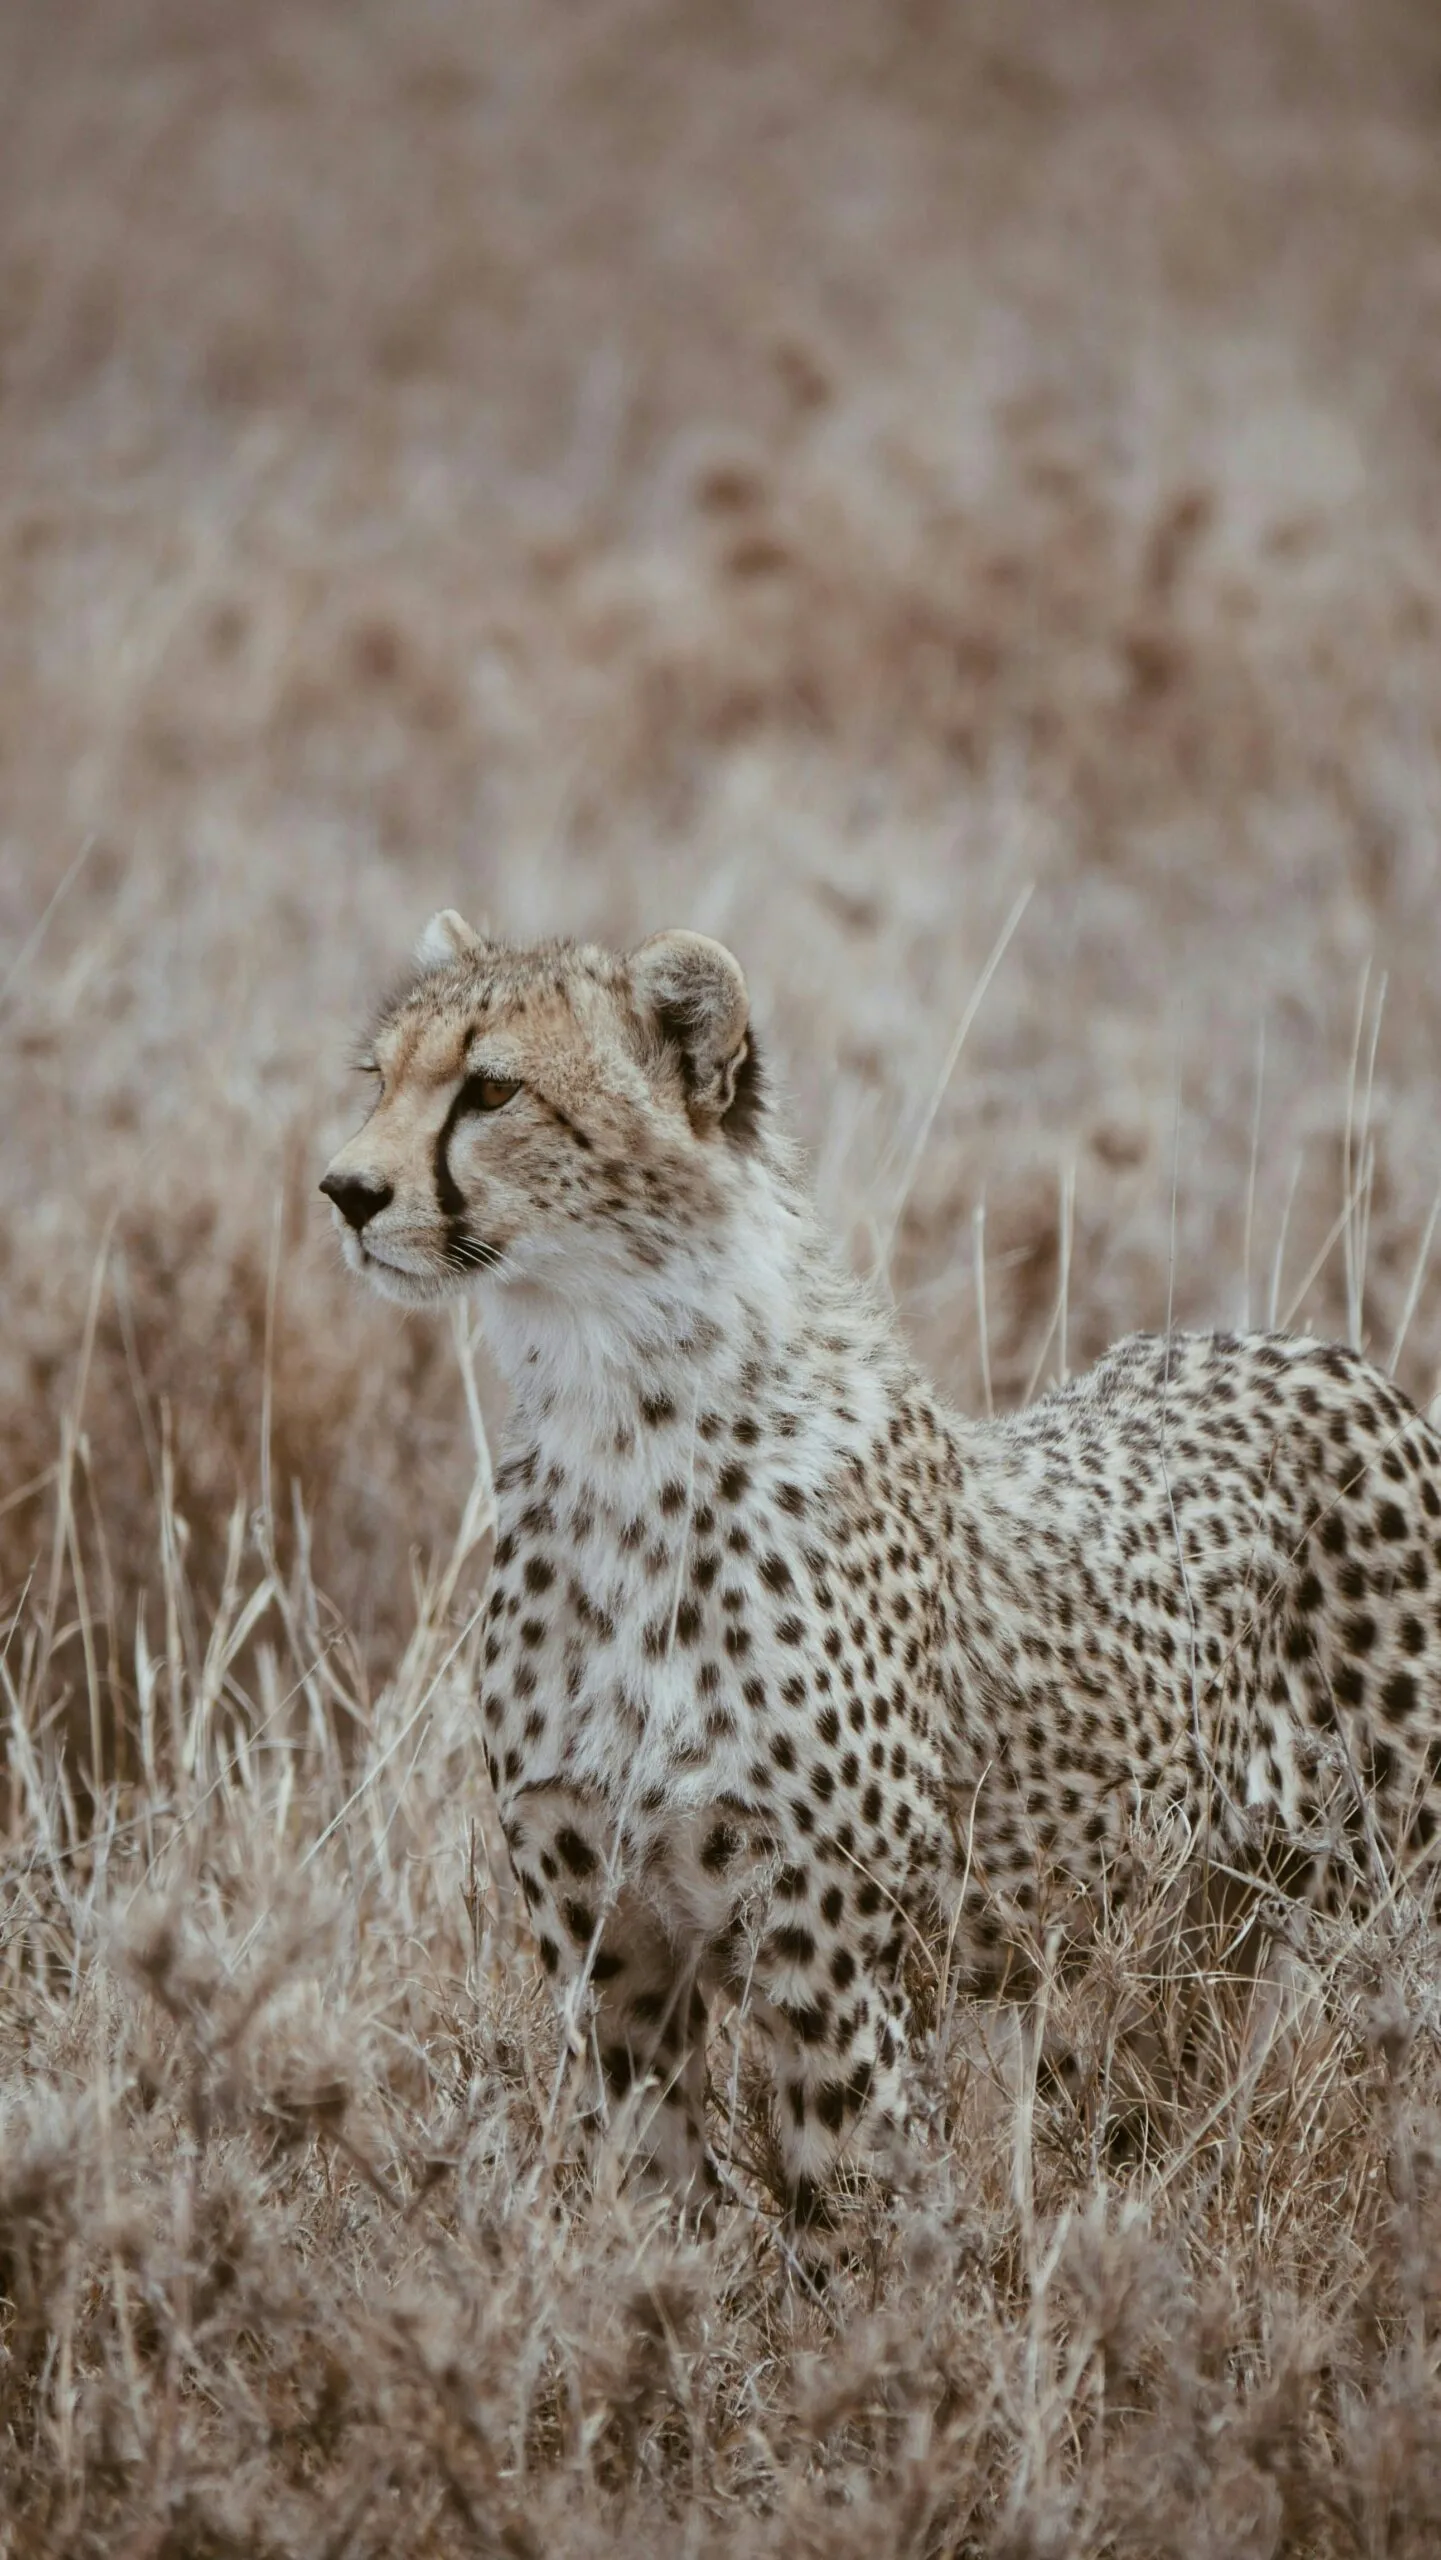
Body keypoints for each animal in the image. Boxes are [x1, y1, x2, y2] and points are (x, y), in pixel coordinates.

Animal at [321, 909, 1441, 2242]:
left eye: (491, 1089)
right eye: (378, 1076)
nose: (345, 1190)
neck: (617, 1414)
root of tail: (1316, 1349)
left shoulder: (832, 1959)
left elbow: (852, 2211)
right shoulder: (614, 1955)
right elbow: (651, 2204)